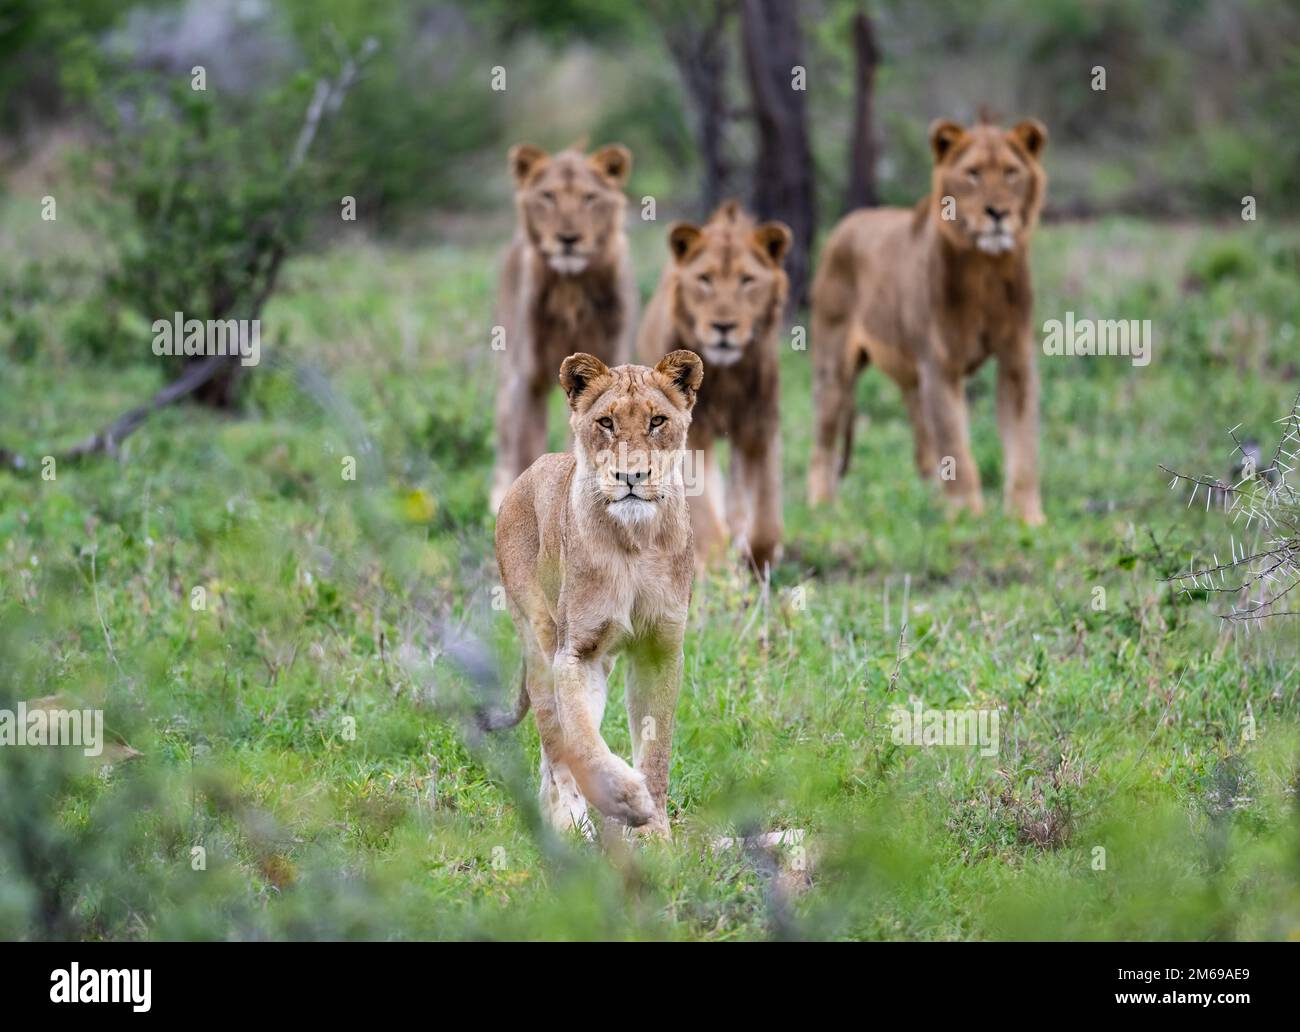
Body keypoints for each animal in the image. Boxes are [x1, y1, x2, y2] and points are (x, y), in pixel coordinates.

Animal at [491, 142, 639, 512]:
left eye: (589, 197)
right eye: (548, 196)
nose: (568, 239)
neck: (571, 289)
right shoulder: (528, 376)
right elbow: (525, 450)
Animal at [491, 348, 707, 837]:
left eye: (657, 421)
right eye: (606, 422)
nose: (631, 475)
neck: (635, 542)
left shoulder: (659, 650)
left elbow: (657, 751)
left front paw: (655, 834)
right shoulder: (577, 653)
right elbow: (583, 740)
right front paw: (627, 800)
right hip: (539, 641)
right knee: (555, 744)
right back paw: (569, 824)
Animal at [639, 200, 790, 571]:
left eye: (747, 280)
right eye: (704, 279)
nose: (724, 326)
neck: (726, 376)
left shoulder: (760, 427)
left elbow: (767, 515)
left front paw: (758, 559)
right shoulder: (691, 434)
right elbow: (706, 508)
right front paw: (715, 567)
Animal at [806, 117, 1050, 522]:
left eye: (1011, 173)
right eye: (973, 173)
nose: (997, 213)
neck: (986, 268)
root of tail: (847, 223)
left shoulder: (1016, 361)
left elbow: (1024, 446)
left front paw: (1027, 519)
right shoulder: (940, 365)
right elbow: (956, 447)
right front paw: (967, 517)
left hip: (912, 379)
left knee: (924, 446)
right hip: (834, 366)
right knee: (823, 442)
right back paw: (823, 506)